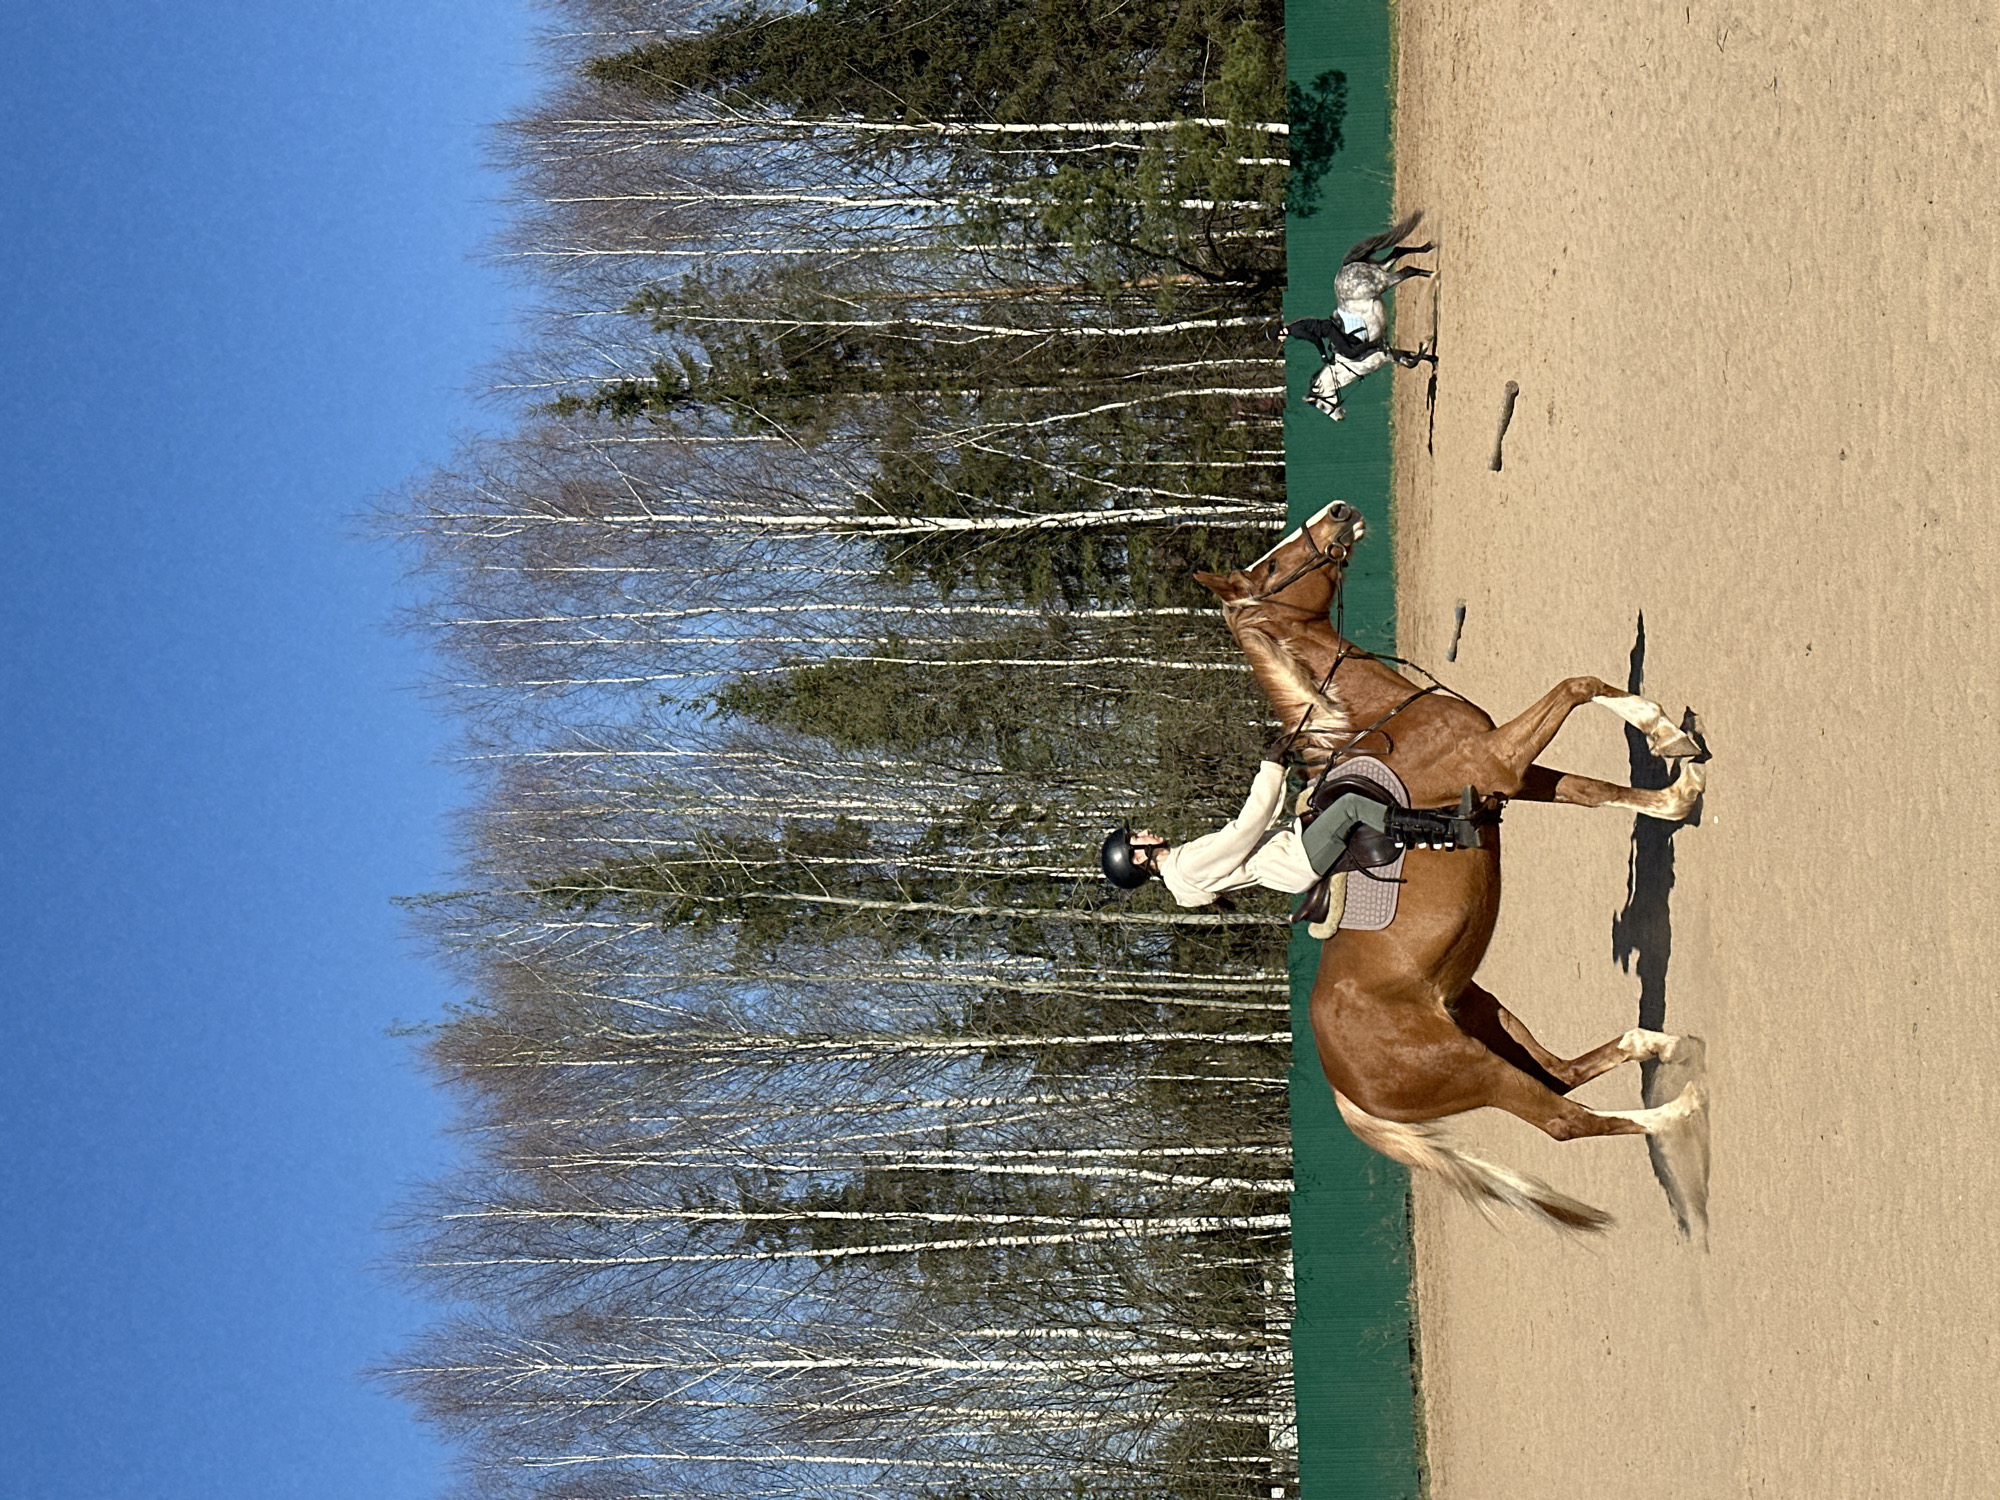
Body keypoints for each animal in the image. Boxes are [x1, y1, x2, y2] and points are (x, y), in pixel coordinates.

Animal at [1194, 502, 1711, 1234]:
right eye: (1267, 570)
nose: (1338, 512)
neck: (1378, 721)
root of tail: (1342, 1087)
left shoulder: (1512, 776)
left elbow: (1594, 788)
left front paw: (1679, 785)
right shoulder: (1500, 760)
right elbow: (1577, 684)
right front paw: (1662, 730)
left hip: (1482, 1013)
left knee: (1561, 1073)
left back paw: (1658, 1047)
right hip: (1475, 1068)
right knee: (1565, 1119)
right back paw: (1682, 1108)